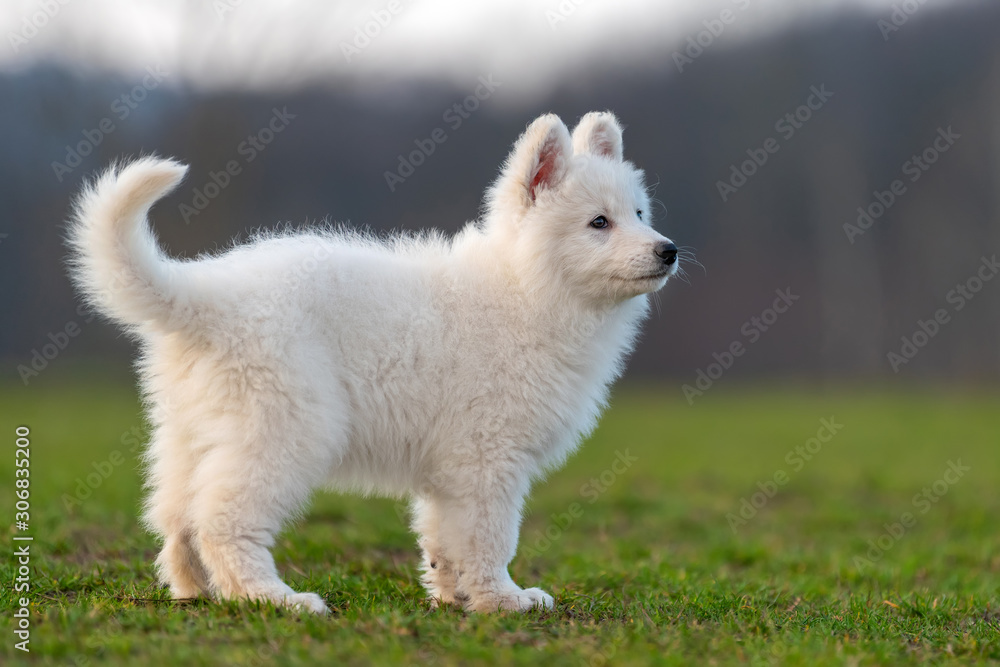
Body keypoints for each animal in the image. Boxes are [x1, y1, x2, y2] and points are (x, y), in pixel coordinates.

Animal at [66, 111, 680, 616]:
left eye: (639, 213)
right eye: (599, 222)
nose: (668, 250)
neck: (526, 288)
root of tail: (202, 297)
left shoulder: (452, 466)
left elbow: (443, 539)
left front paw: (454, 595)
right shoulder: (488, 458)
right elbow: (489, 537)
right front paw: (503, 599)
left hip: (190, 433)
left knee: (177, 518)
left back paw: (195, 589)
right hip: (284, 428)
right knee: (222, 522)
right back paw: (272, 598)